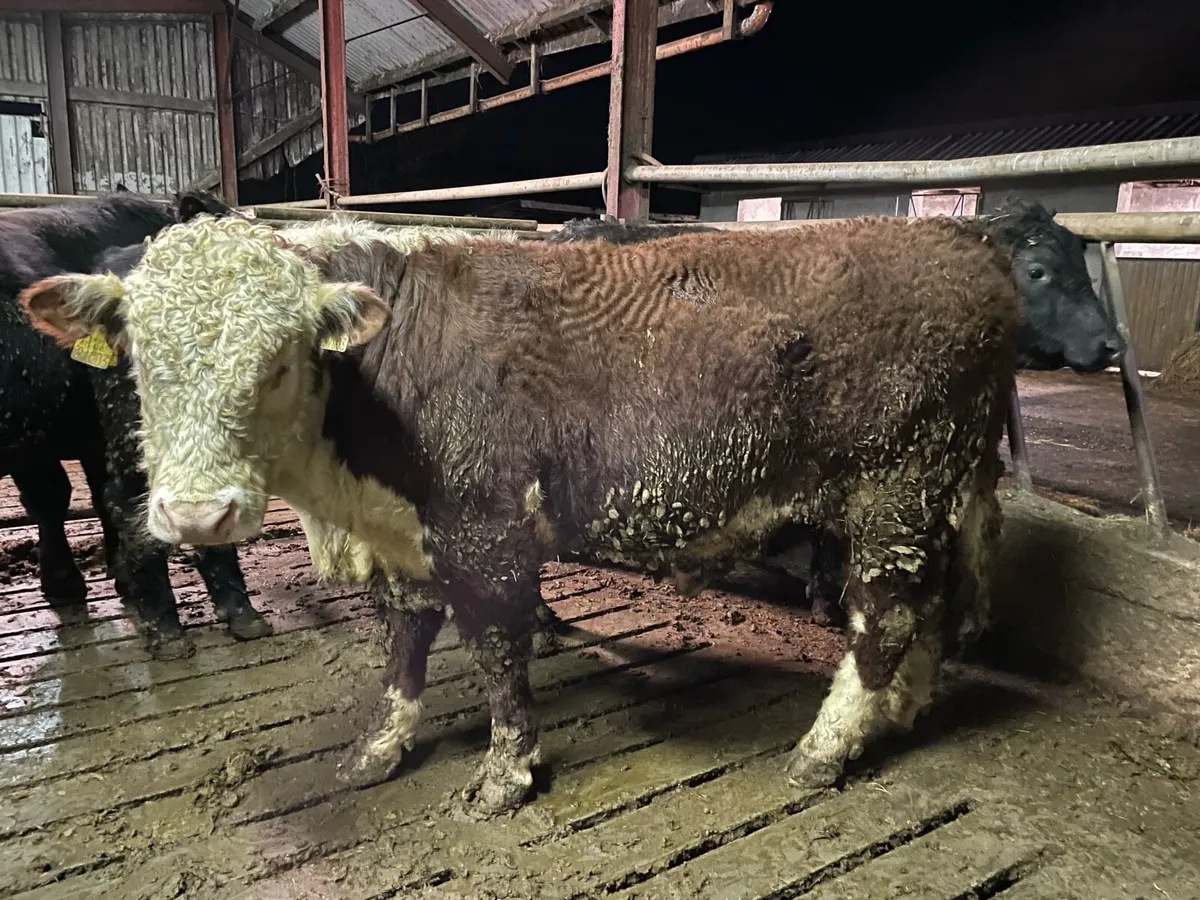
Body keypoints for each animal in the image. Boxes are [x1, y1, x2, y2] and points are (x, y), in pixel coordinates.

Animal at [23, 211, 1027, 819]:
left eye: (279, 359)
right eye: (137, 357)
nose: (197, 516)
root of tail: (957, 233)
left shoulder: (484, 531)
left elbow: (499, 656)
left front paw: (504, 775)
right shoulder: (406, 537)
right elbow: (403, 643)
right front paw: (380, 749)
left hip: (896, 487)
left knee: (884, 615)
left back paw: (828, 746)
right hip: (936, 490)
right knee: (932, 603)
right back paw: (900, 713)